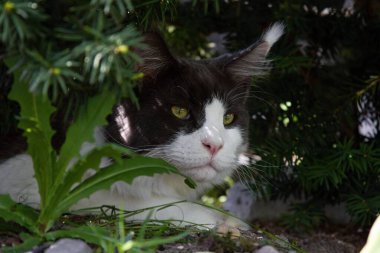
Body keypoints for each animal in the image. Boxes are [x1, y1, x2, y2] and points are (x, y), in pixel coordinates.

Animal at [0, 23, 284, 228]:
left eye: (228, 119)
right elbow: (132, 201)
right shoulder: (24, 178)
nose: (214, 144)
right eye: (179, 111)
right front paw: (212, 218)